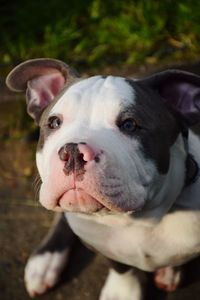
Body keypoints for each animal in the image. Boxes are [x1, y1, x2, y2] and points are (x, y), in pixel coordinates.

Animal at [5, 58, 200, 298]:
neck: (139, 220)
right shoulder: (102, 244)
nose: (72, 152)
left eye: (130, 125)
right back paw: (46, 259)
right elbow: (121, 267)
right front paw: (123, 292)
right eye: (54, 123)